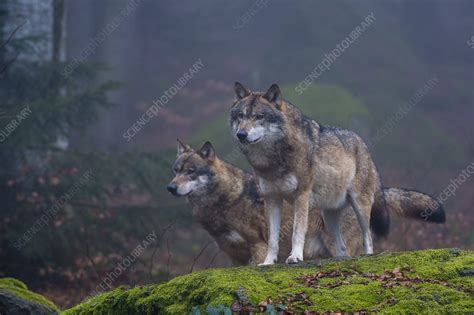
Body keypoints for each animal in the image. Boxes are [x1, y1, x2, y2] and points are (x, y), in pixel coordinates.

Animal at [231, 82, 446, 266]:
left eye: (259, 117)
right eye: (240, 116)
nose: (241, 134)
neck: (273, 160)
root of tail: (364, 146)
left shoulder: (301, 196)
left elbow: (297, 232)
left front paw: (295, 257)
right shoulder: (272, 198)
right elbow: (273, 239)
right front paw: (268, 263)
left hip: (360, 207)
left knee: (368, 238)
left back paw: (367, 256)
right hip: (329, 216)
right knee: (342, 248)